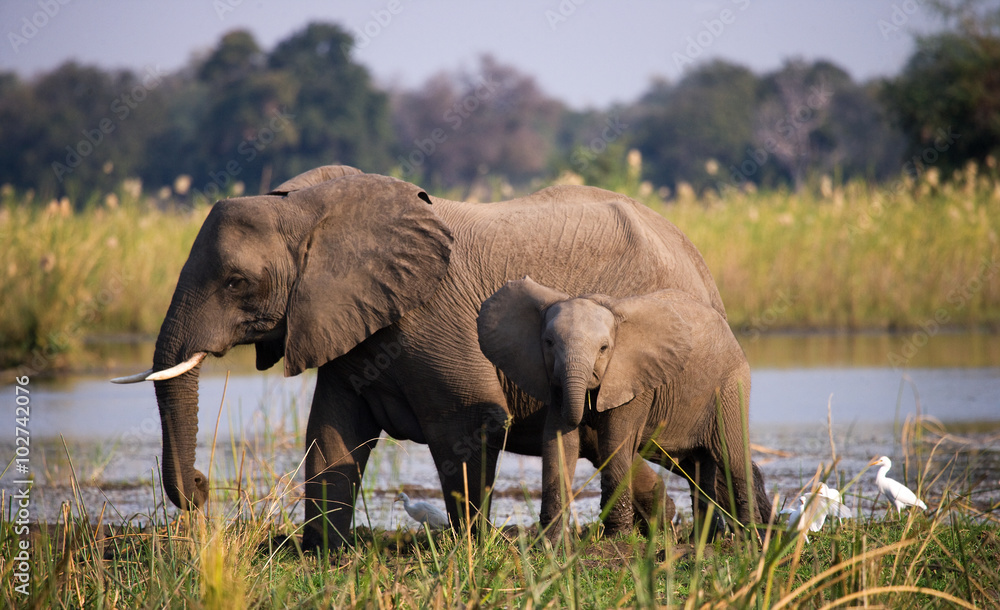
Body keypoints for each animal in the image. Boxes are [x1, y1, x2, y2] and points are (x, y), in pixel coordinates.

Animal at [112, 164, 728, 551]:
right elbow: (332, 431)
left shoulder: (431, 313)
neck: (311, 209)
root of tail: (698, 259)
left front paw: (472, 549)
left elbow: (469, 420)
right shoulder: (350, 323)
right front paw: (321, 552)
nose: (200, 488)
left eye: (237, 282)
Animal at [476, 277, 773, 539]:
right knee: (700, 468)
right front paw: (550, 543)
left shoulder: (634, 382)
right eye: (548, 343)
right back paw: (702, 543)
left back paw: (750, 540)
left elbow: (614, 442)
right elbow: (558, 443)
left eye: (604, 348)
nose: (583, 413)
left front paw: (616, 539)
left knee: (732, 459)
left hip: (731, 386)